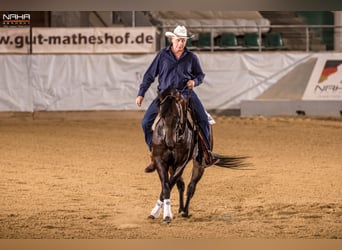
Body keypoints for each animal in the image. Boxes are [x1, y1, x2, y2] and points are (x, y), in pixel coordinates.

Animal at [147, 87, 246, 224]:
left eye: (177, 115)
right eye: (162, 114)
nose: (169, 142)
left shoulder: (181, 163)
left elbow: (169, 185)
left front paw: (164, 215)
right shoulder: (160, 161)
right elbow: (166, 185)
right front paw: (158, 213)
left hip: (200, 164)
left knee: (191, 187)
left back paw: (185, 211)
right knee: (180, 185)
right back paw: (180, 209)